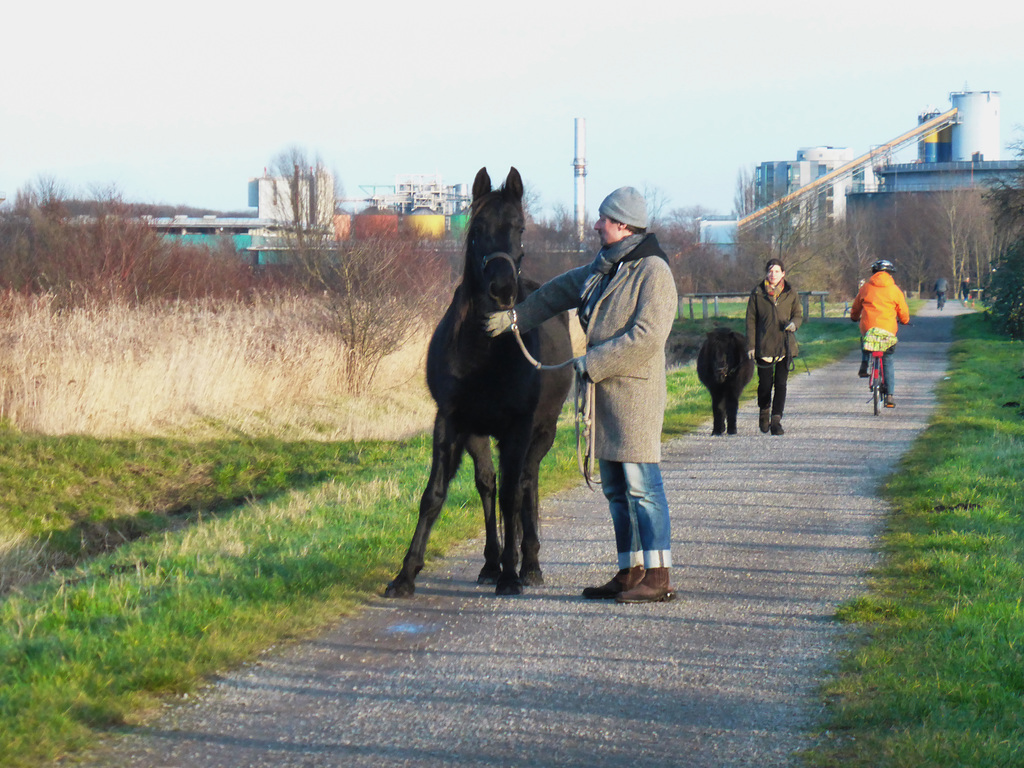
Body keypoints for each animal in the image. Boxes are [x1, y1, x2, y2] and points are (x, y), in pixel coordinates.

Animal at [385, 167, 577, 598]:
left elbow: (512, 496)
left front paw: (511, 574)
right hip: (479, 433)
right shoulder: (451, 421)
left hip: (542, 430)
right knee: (489, 484)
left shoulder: (518, 427)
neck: (486, 349)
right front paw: (406, 574)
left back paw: (528, 564)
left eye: (520, 228)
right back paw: (492, 562)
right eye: (476, 230)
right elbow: (435, 495)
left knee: (525, 483)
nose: (502, 289)